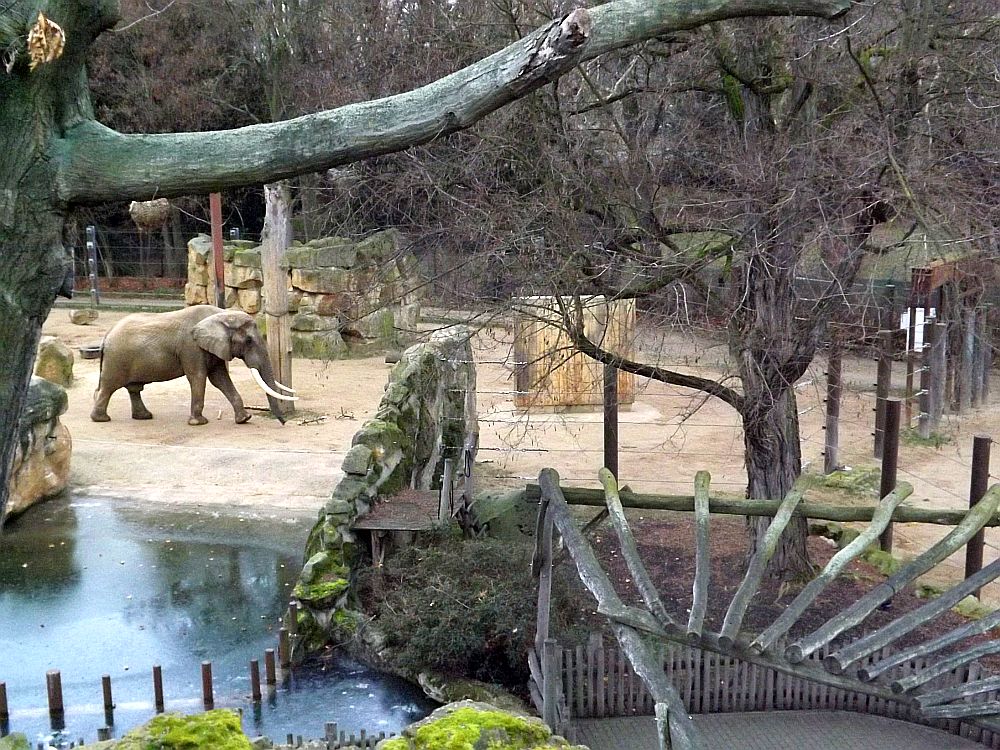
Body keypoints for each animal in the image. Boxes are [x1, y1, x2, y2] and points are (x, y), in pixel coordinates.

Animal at [90, 305, 297, 426]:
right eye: (248, 341)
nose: (283, 423)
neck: (222, 314)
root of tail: (106, 336)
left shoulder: (213, 348)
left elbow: (220, 379)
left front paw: (244, 419)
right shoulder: (191, 347)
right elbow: (198, 377)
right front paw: (199, 423)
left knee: (133, 388)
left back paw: (144, 417)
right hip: (117, 360)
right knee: (108, 387)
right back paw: (101, 419)